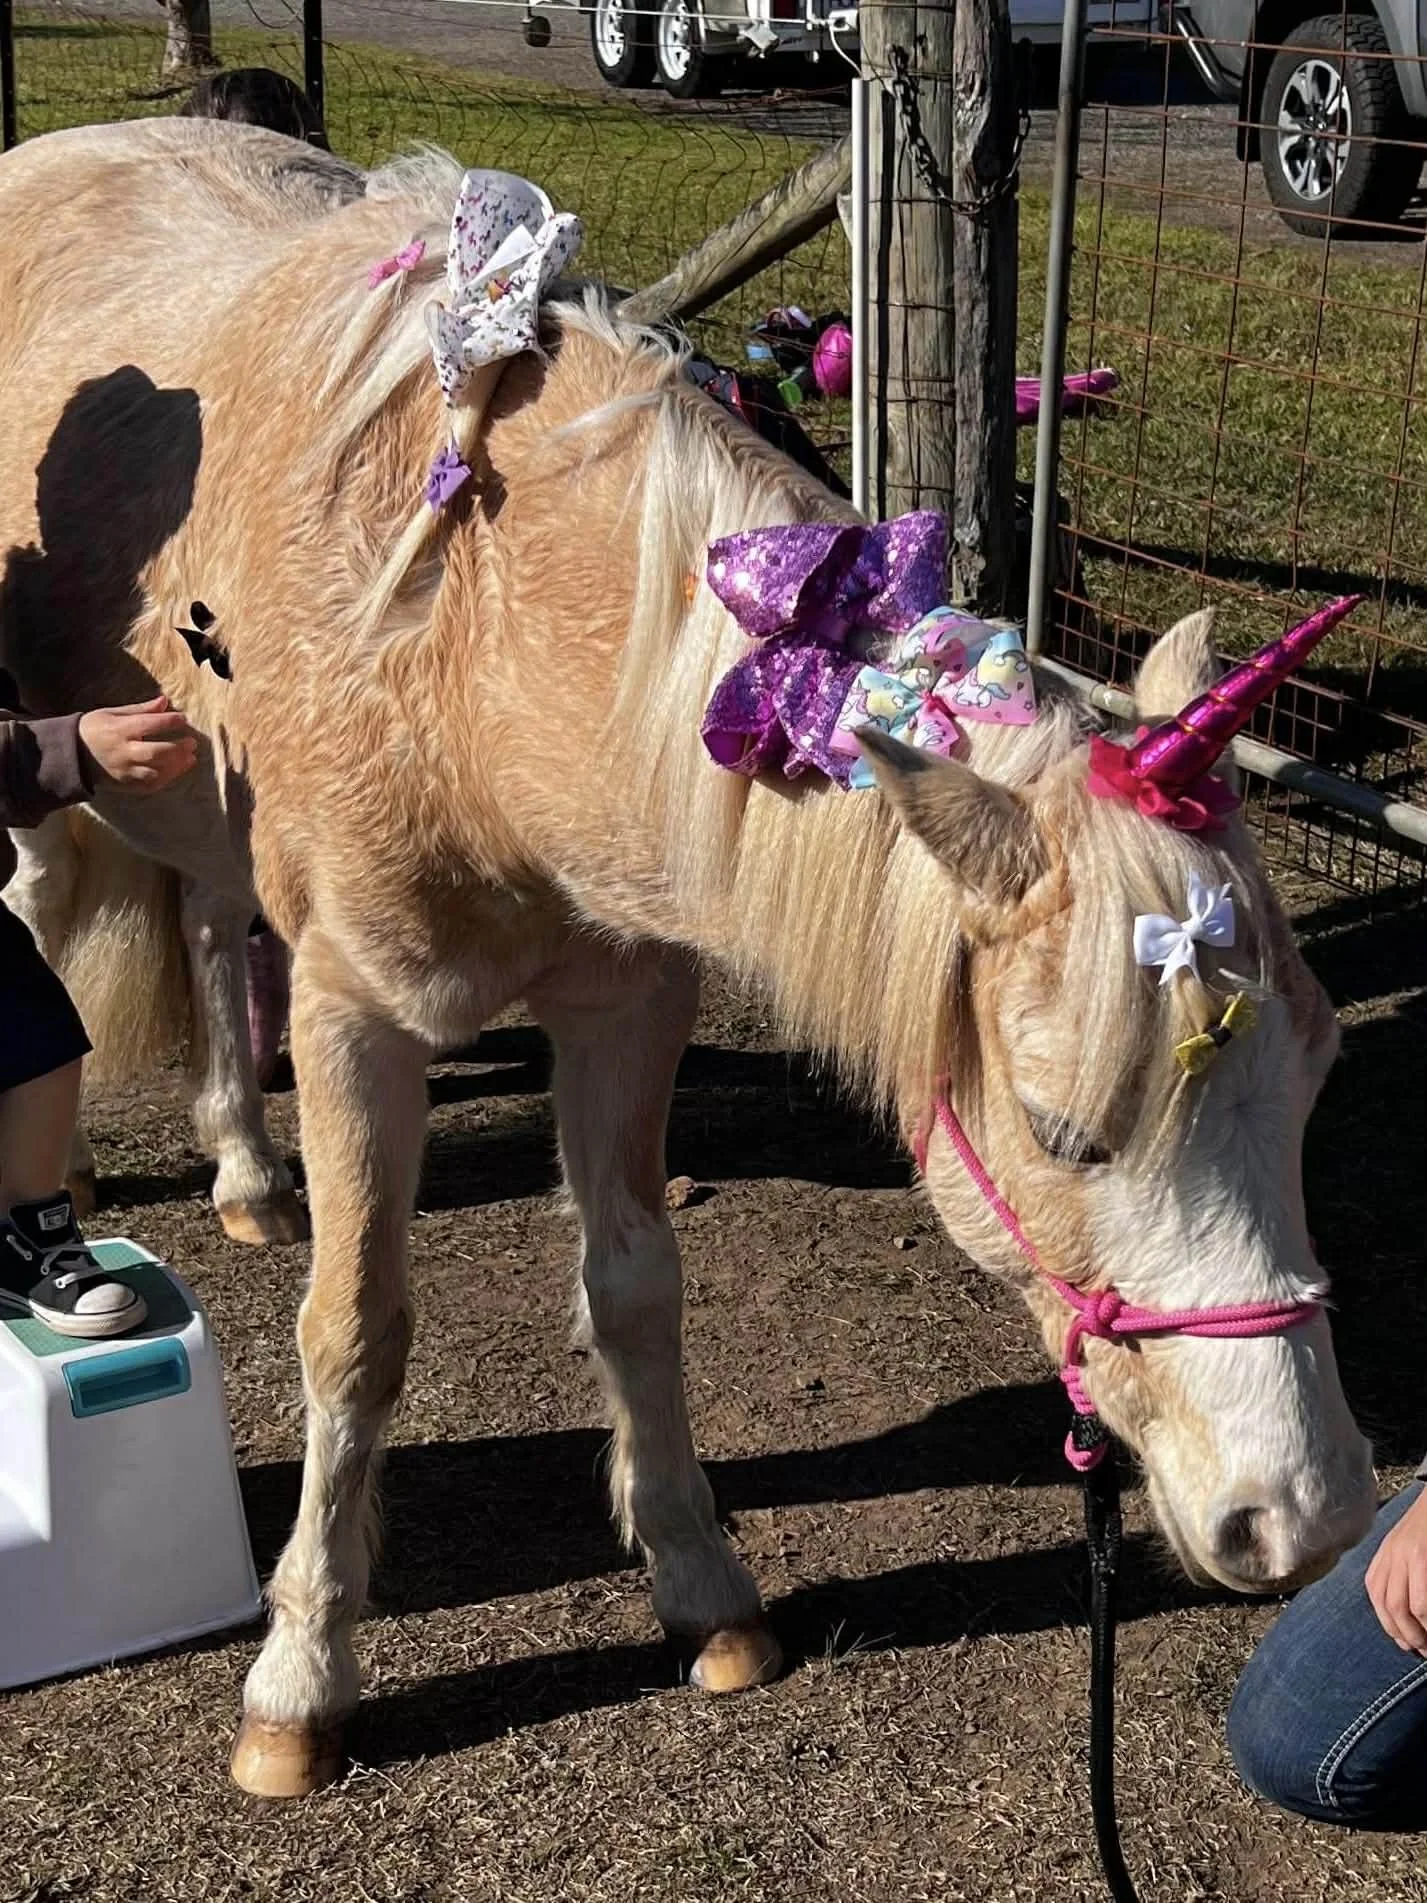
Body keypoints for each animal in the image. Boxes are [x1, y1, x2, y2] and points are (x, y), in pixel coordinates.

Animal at [0, 119, 1375, 1799]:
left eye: (1311, 1082)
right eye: (1066, 1134)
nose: (1302, 1513)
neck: (485, 644)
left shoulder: (627, 999)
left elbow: (635, 1288)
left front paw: (701, 1589)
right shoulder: (352, 1015)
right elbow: (354, 1331)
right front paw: (299, 1678)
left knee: (204, 919)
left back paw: (250, 1168)